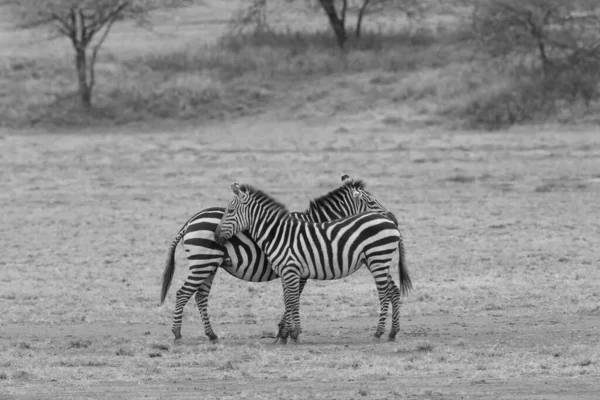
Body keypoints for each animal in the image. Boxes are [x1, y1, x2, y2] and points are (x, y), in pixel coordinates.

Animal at [161, 173, 412, 342]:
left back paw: (210, 334)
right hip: (204, 263)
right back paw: (179, 334)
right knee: (186, 294)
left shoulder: (297, 269)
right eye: (371, 202)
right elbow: (292, 299)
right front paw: (286, 331)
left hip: (209, 265)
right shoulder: (299, 271)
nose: (394, 219)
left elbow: (290, 299)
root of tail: (191, 219)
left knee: (199, 297)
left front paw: (283, 332)